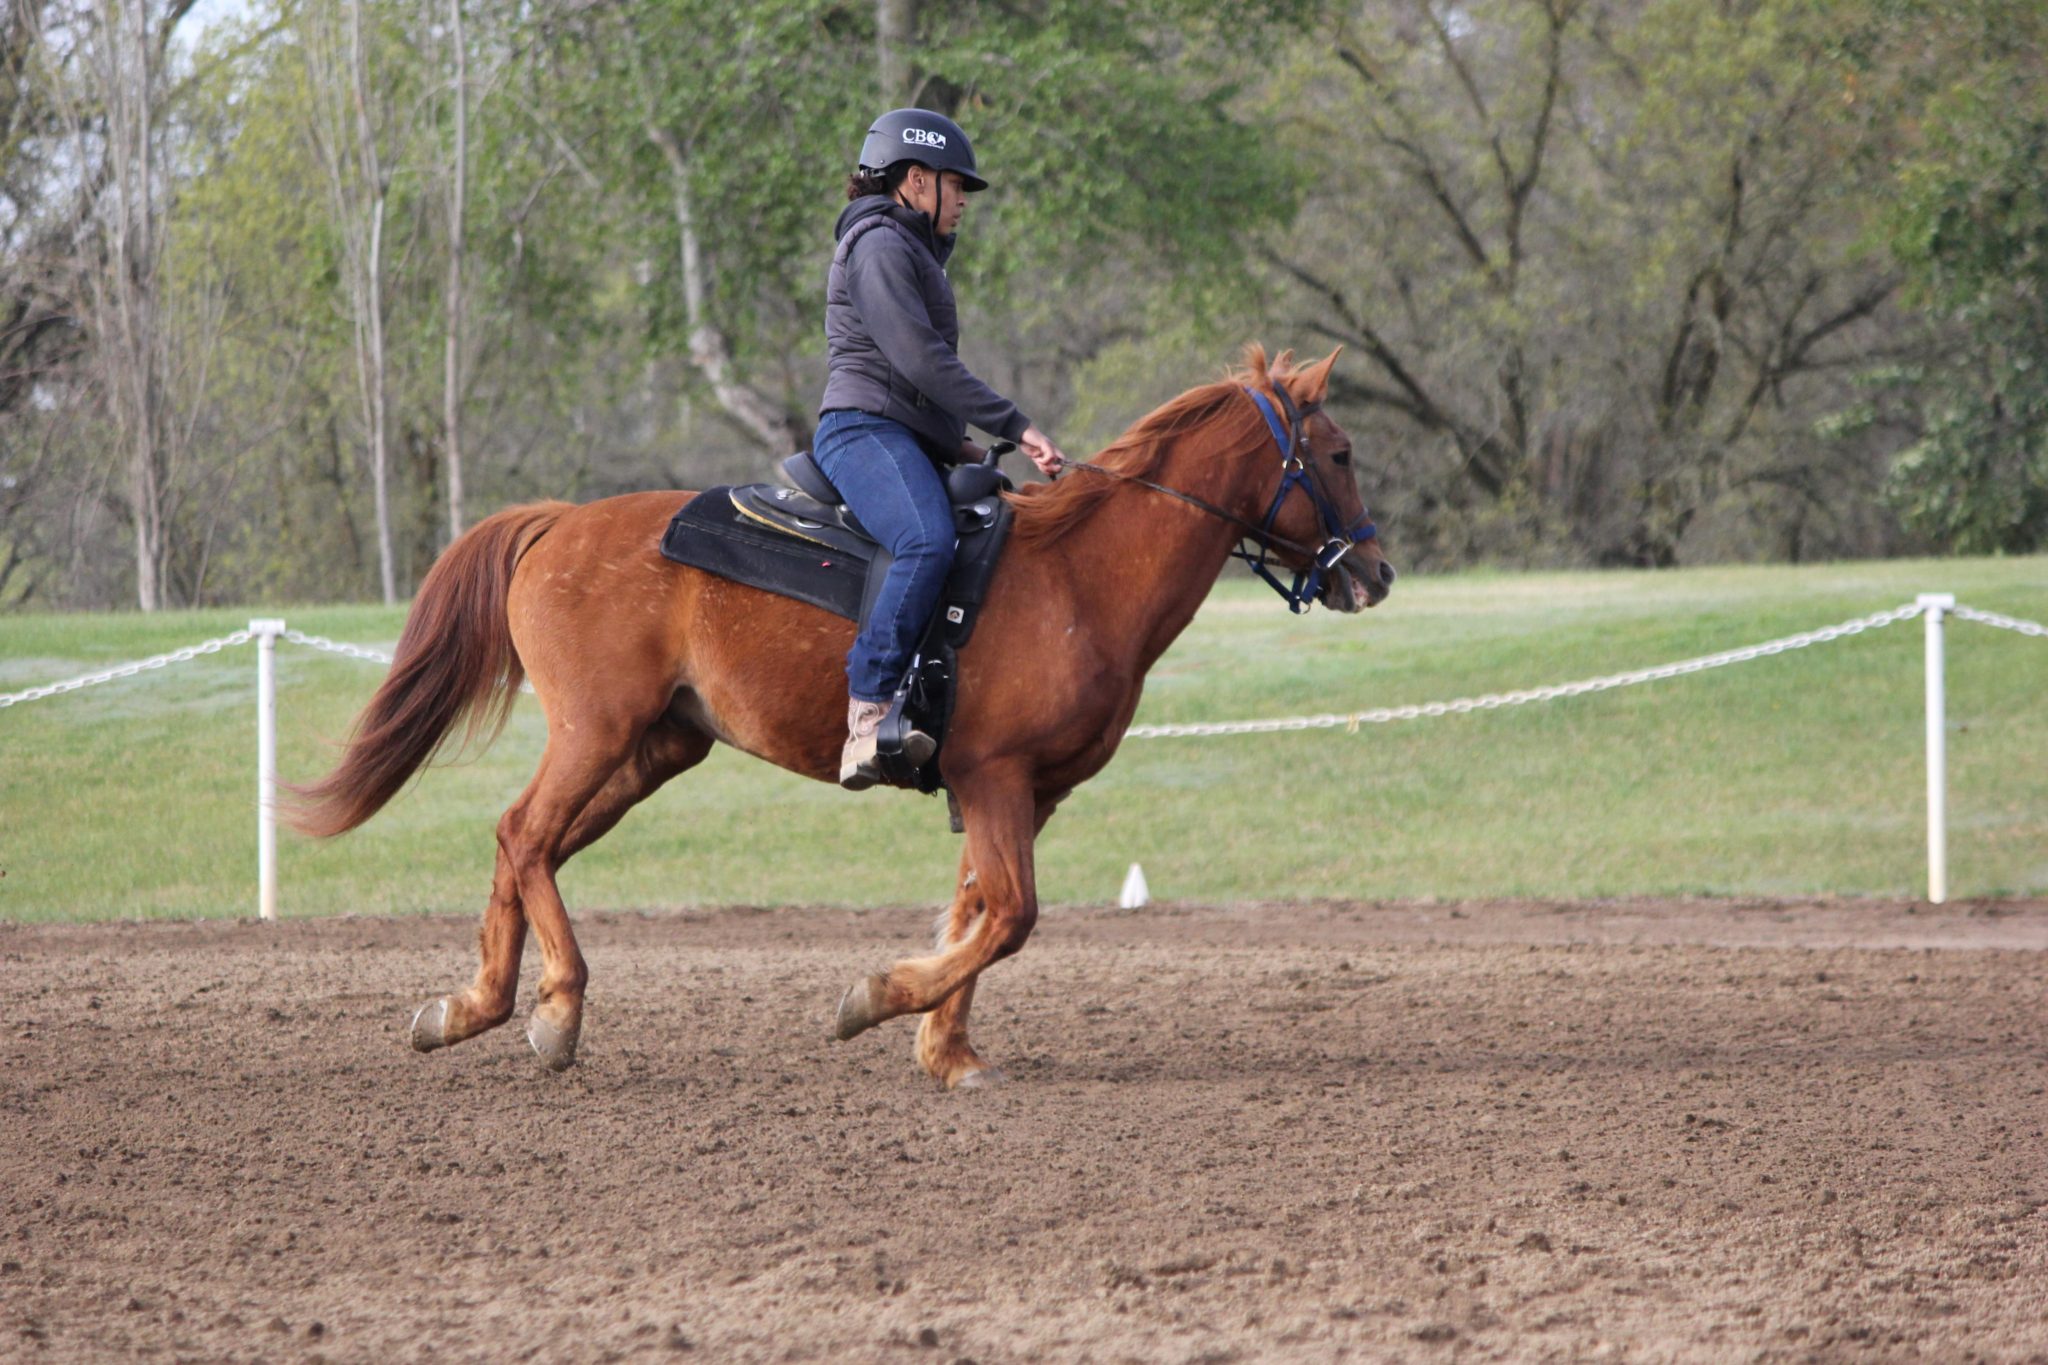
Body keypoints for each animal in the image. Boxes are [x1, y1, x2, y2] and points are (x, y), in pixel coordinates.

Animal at [292, 349, 1392, 1088]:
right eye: (1337, 452)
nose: (1375, 573)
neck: (1080, 576)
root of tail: (560, 523)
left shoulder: (1020, 793)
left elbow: (977, 909)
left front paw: (946, 1049)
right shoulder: (995, 776)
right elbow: (1012, 915)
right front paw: (876, 1001)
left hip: (651, 750)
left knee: (524, 844)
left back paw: (469, 1009)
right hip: (596, 734)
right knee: (525, 834)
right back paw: (554, 1012)